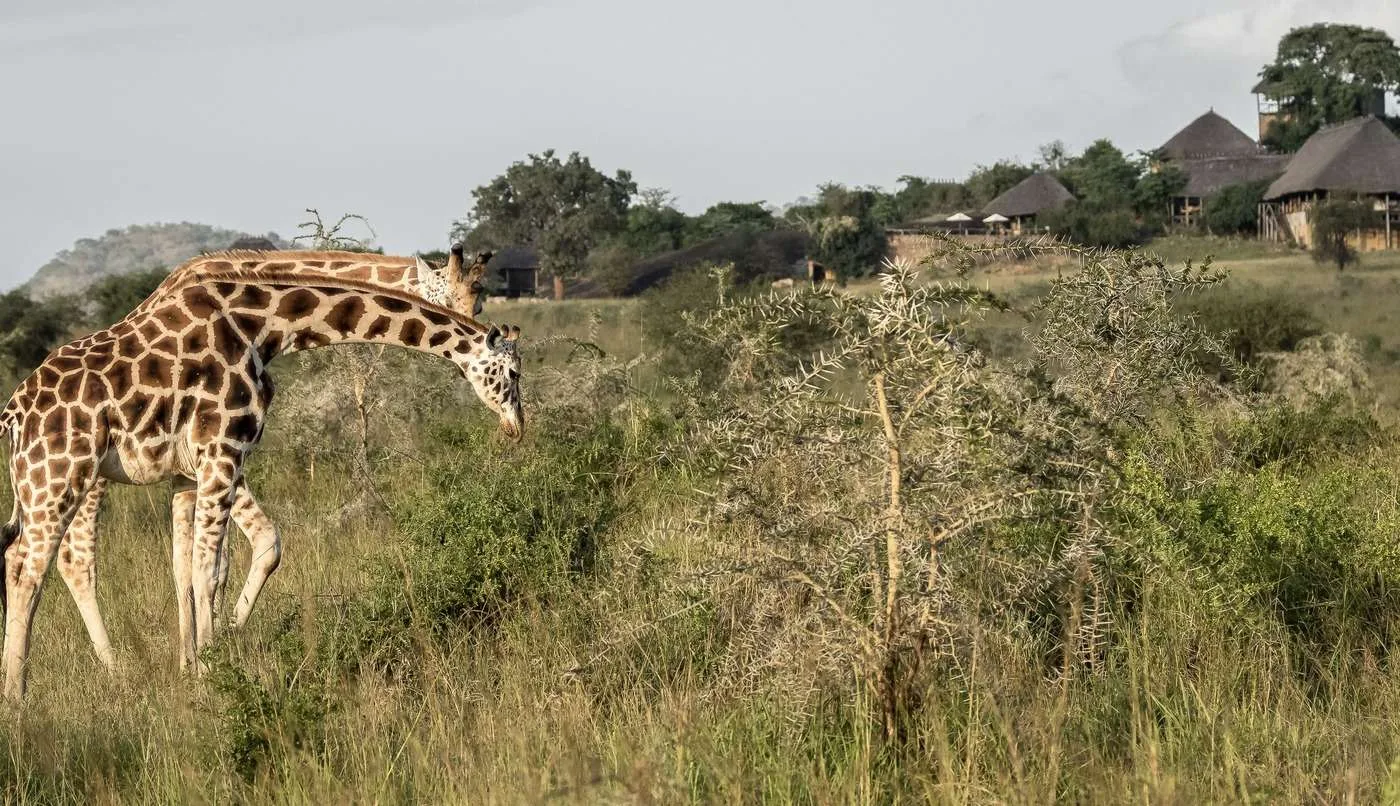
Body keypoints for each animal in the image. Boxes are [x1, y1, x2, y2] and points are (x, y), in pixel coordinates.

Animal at [0, 267, 523, 699]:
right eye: (514, 372)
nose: (517, 426)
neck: (265, 328)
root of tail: (14, 413)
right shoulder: (223, 448)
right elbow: (209, 568)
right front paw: (211, 671)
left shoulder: (191, 471)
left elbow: (196, 567)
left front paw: (197, 663)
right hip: (61, 475)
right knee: (33, 569)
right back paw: (19, 697)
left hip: (46, 482)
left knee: (26, 559)